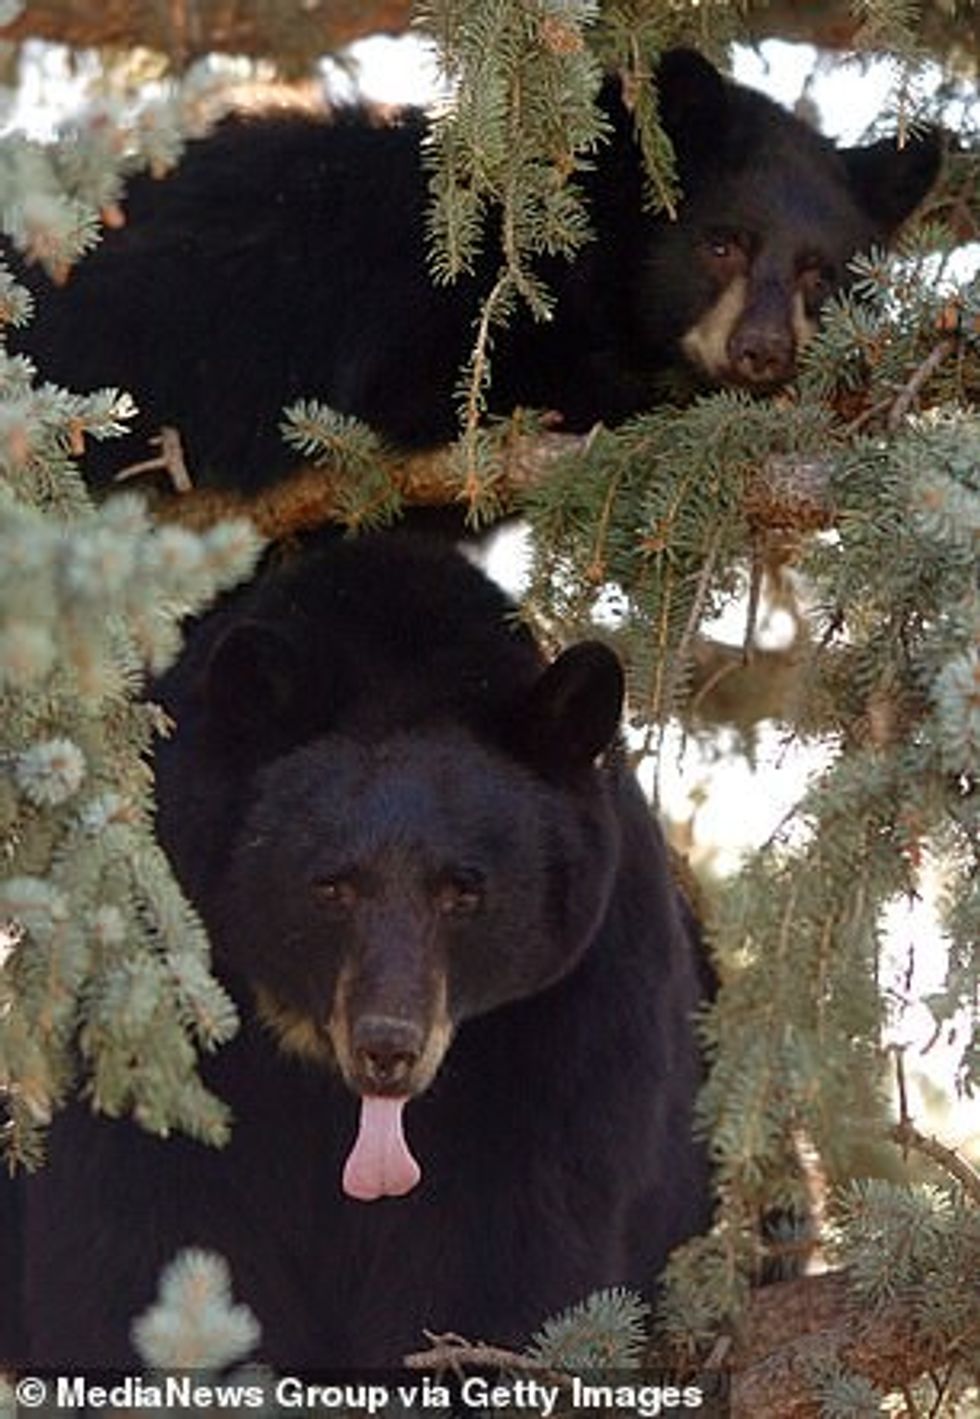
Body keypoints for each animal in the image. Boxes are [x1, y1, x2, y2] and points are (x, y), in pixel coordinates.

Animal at [9, 533, 713, 1371]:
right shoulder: (155, 1021)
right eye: (332, 886)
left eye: (464, 890)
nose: (388, 1047)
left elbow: (506, 1251)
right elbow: (141, 1235)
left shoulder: (575, 1017)